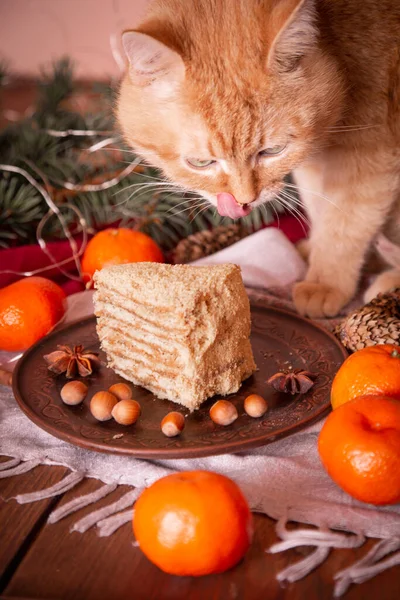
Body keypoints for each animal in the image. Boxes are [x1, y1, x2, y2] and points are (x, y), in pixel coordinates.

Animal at [117, 0, 400, 318]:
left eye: (272, 151)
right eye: (201, 163)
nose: (243, 202)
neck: (339, 47)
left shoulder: (368, 155)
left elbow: (344, 220)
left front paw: (325, 282)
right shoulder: (318, 157)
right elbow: (319, 206)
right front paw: (314, 253)